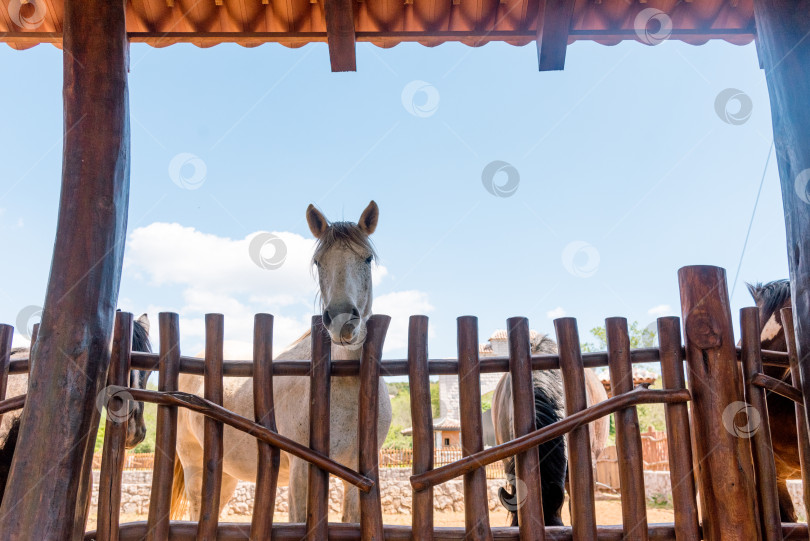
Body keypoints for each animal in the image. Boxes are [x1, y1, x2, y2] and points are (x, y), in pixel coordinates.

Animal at [170, 201, 393, 524]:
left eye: (367, 258)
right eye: (318, 262)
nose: (342, 322)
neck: (345, 383)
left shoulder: (359, 477)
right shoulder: (302, 472)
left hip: (226, 475)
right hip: (194, 466)